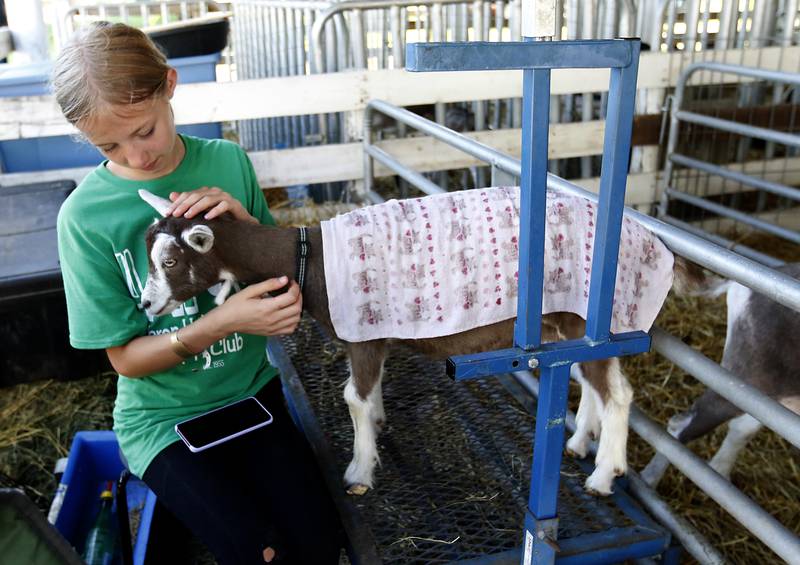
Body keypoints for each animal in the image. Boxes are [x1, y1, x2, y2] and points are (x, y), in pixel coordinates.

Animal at [141, 188, 704, 494]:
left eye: (169, 261)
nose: (145, 306)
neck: (309, 258)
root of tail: (655, 242)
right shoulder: (377, 333)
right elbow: (369, 393)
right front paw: (377, 426)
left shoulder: (362, 336)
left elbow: (352, 397)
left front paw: (359, 468)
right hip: (575, 327)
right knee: (592, 384)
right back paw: (580, 441)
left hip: (589, 317)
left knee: (619, 394)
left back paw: (605, 475)